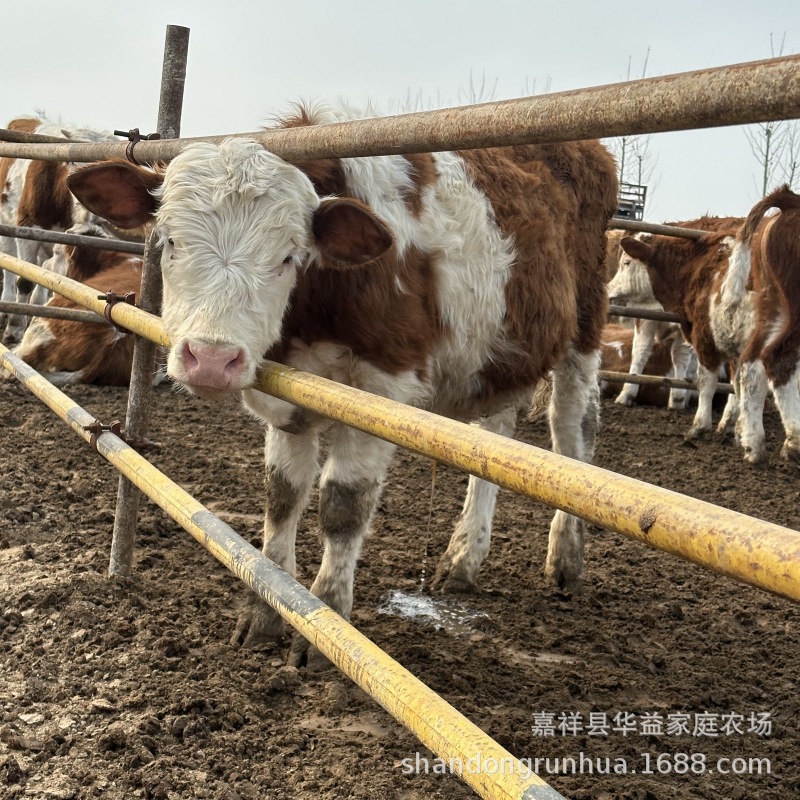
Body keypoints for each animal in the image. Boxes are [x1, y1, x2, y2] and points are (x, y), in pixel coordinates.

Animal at [69, 100, 620, 664]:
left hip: (585, 326)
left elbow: (343, 506)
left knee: (573, 431)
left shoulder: (383, 389)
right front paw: (264, 613)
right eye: (170, 241)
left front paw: (326, 621)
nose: (211, 360)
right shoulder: (284, 395)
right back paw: (465, 557)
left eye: (289, 255)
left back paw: (566, 558)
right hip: (501, 352)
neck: (318, 305)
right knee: (495, 439)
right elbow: (282, 496)